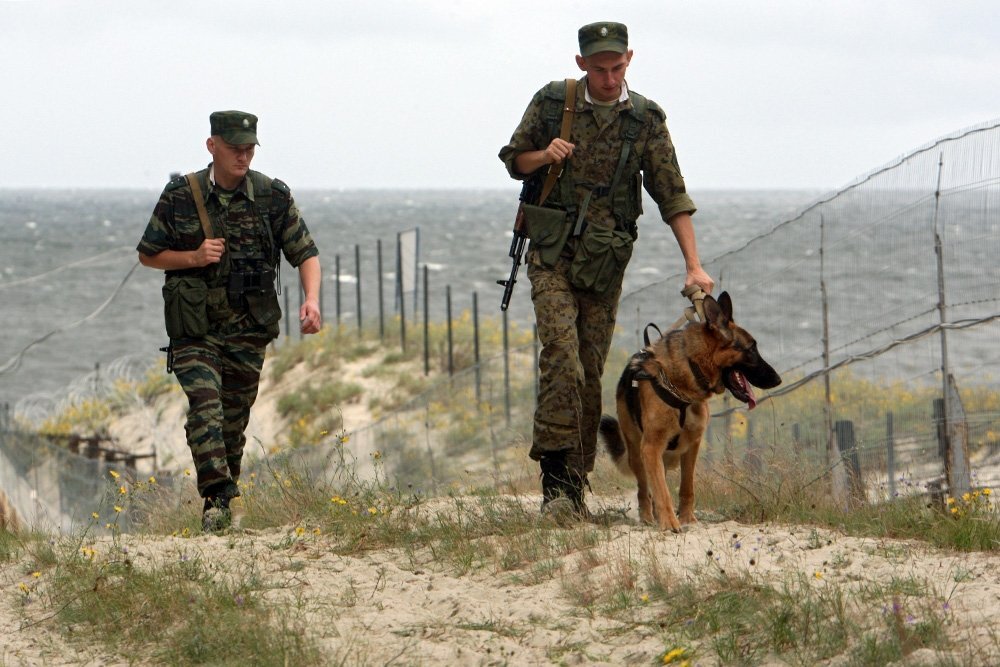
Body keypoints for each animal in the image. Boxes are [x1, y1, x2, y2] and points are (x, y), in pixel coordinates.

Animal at [592, 292, 780, 532]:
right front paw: (670, 523)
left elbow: (686, 487)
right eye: (751, 349)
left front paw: (688, 519)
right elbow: (662, 491)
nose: (778, 379)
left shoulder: (692, 446)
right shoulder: (651, 448)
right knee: (644, 489)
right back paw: (648, 517)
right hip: (637, 451)